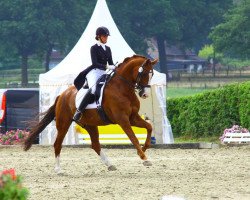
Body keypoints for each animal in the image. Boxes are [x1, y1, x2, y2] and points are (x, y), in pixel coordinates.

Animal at [23, 55, 157, 173]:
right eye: (144, 73)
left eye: (152, 75)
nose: (145, 94)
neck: (122, 89)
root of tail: (61, 95)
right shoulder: (122, 119)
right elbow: (133, 137)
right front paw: (144, 158)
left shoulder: (133, 117)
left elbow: (149, 127)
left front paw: (144, 149)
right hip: (63, 123)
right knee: (57, 144)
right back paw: (58, 170)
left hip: (90, 124)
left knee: (95, 145)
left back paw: (110, 164)